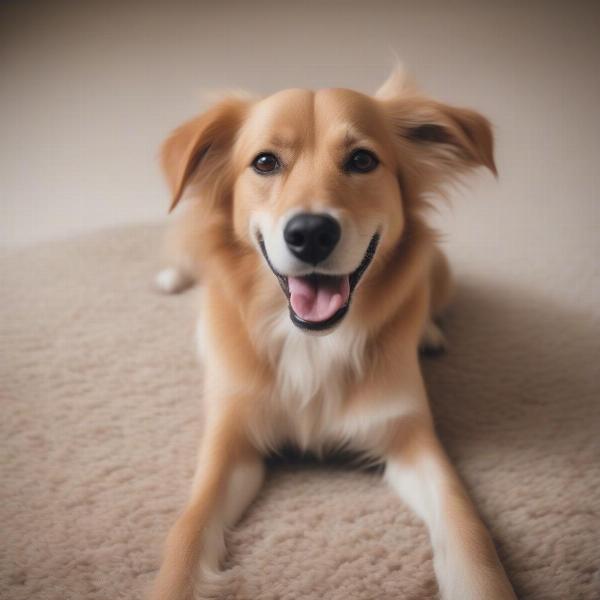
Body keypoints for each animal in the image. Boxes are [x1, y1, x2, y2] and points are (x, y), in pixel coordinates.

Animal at [150, 67, 516, 600]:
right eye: (265, 162)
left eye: (362, 160)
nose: (310, 234)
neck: (311, 342)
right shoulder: (231, 438)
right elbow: (187, 531)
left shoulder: (409, 436)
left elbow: (467, 525)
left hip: (440, 269)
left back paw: (428, 332)